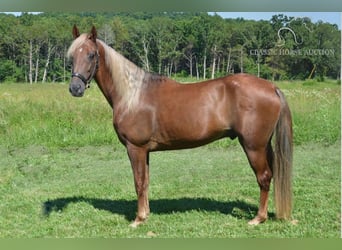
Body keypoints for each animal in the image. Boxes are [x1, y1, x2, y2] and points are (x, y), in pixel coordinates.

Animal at [68, 25, 292, 229]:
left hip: (253, 146)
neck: (132, 94)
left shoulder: (135, 148)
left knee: (264, 177)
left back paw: (258, 218)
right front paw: (145, 215)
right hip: (264, 145)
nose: (75, 89)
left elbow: (138, 181)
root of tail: (271, 87)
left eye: (91, 55)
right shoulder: (145, 151)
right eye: (71, 57)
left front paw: (138, 220)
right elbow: (146, 182)